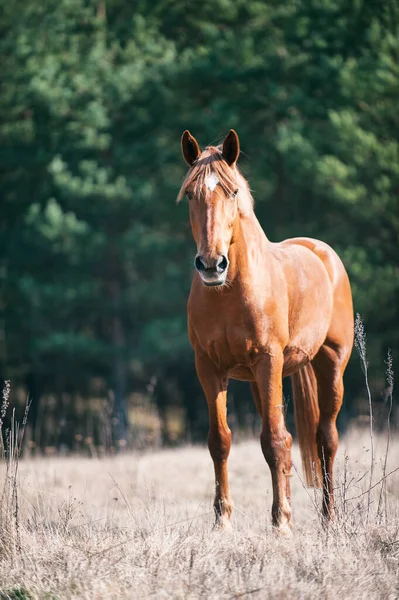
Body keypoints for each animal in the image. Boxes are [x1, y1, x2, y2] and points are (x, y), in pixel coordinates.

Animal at [178, 129, 354, 532]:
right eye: (191, 194)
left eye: (231, 192)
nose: (211, 264)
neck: (229, 291)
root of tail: (322, 252)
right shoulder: (208, 367)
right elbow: (221, 441)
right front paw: (223, 520)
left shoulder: (268, 359)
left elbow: (275, 441)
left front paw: (282, 523)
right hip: (261, 380)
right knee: (288, 440)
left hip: (330, 366)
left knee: (325, 439)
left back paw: (328, 519)